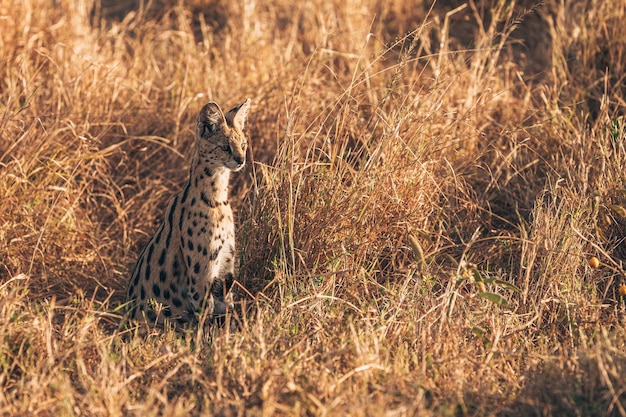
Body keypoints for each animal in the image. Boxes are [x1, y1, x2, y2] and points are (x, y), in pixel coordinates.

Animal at [123, 97, 250, 332]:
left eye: (243, 145)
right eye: (225, 147)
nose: (241, 160)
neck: (219, 199)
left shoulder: (225, 269)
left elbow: (227, 311)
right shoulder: (201, 275)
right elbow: (205, 320)